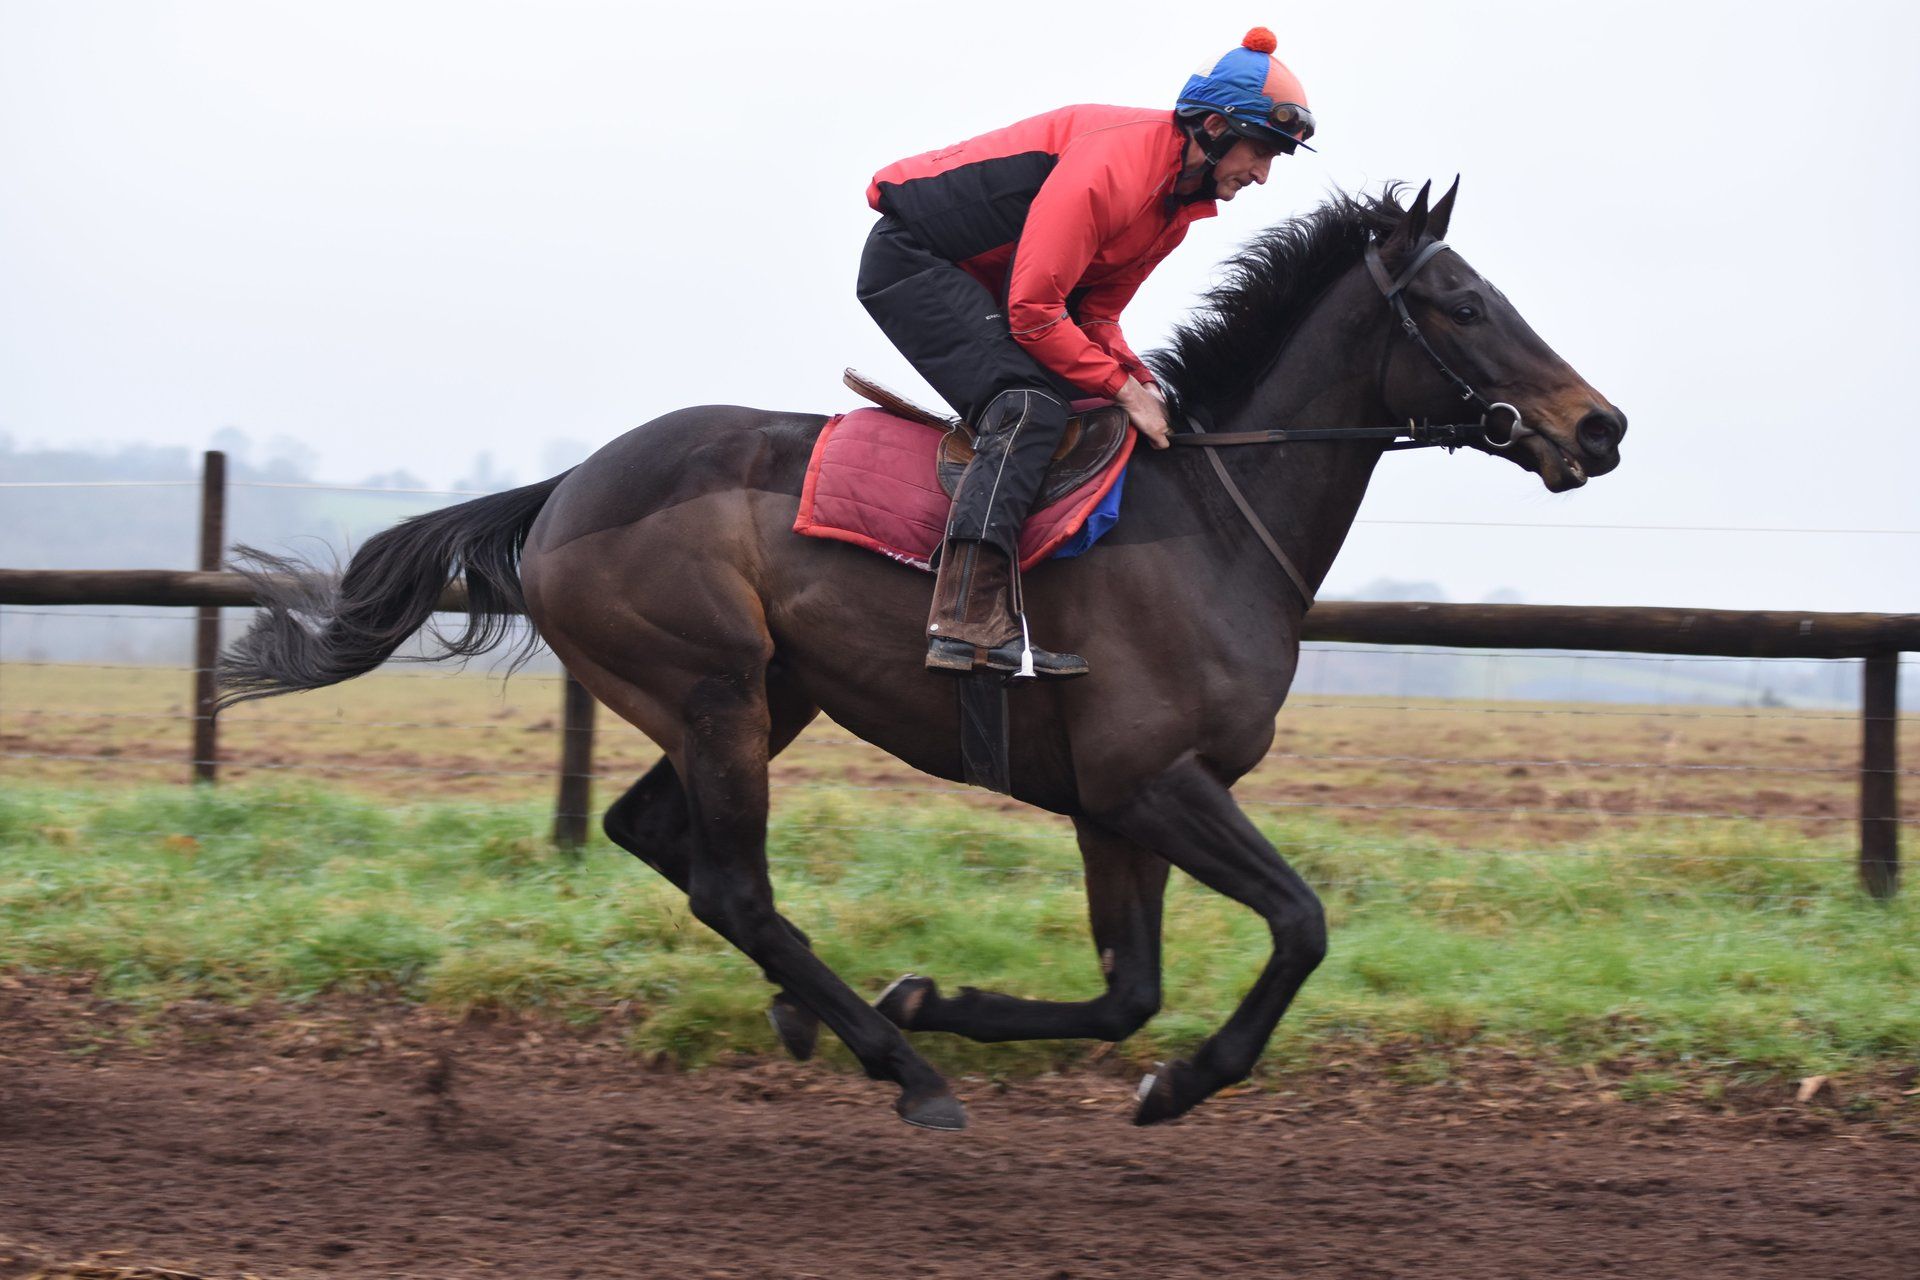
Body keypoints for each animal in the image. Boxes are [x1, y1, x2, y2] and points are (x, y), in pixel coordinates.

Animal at [220, 180, 1625, 1131]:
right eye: (1463, 301)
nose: (1599, 427)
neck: (1215, 520)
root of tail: (565, 490)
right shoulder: (1153, 780)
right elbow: (1299, 922)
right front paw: (1172, 1084)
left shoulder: (1115, 803)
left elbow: (1128, 989)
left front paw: (930, 997)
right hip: (715, 689)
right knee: (731, 885)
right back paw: (906, 1071)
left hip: (766, 694)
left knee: (654, 835)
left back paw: (825, 1013)